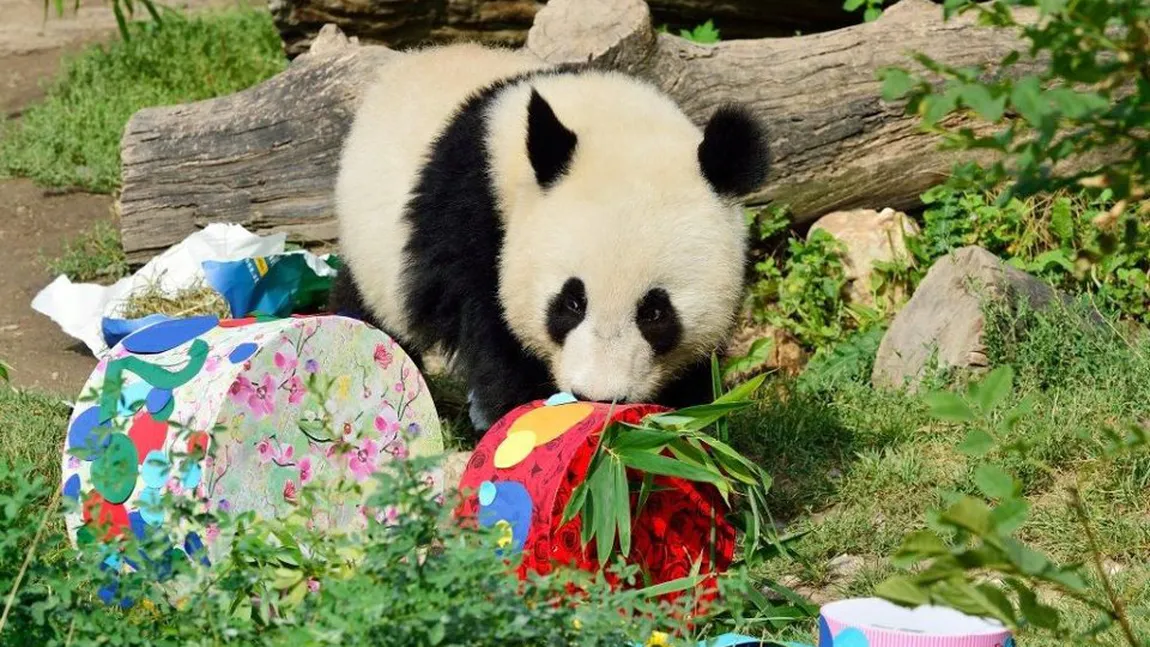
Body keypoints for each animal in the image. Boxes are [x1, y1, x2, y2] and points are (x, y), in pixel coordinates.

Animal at [328, 43, 768, 432]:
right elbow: (497, 339)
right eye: (571, 302)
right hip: (371, 246)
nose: (597, 397)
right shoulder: (478, 225)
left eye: (656, 312)